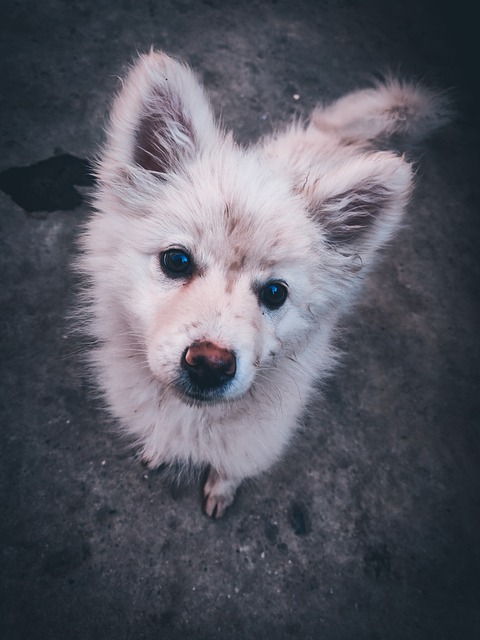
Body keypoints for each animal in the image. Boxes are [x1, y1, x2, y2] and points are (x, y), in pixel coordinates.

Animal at [76, 52, 450, 516]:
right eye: (176, 261)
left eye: (275, 293)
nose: (210, 364)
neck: (193, 415)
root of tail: (336, 139)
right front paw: (160, 449)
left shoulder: (254, 442)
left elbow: (230, 468)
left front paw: (221, 490)